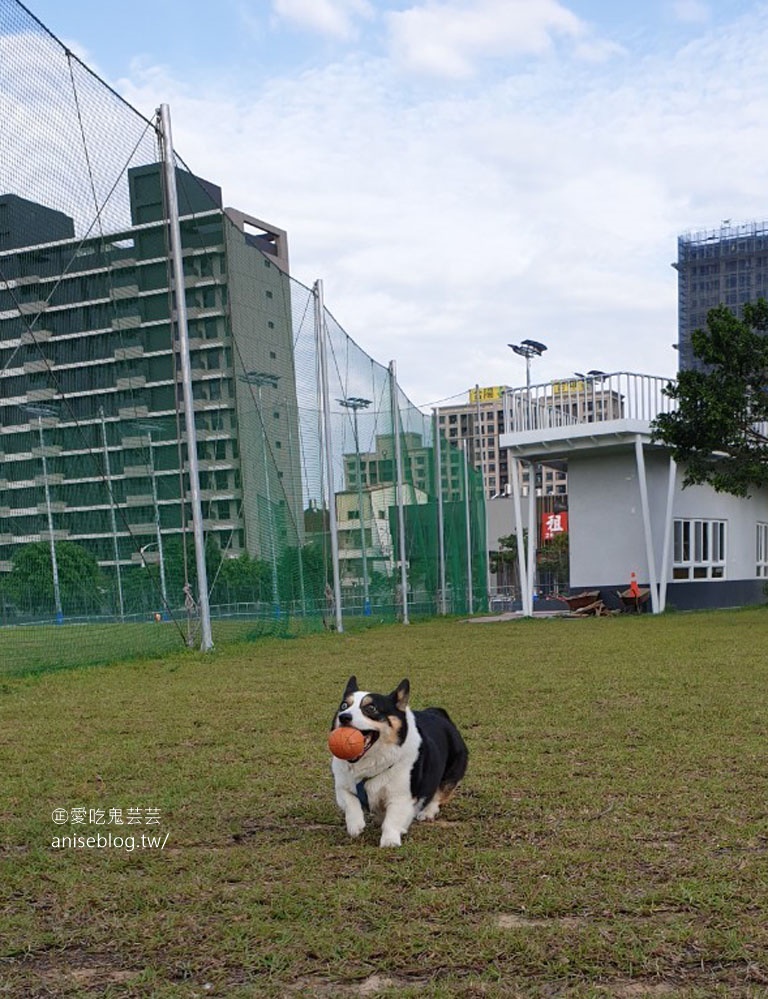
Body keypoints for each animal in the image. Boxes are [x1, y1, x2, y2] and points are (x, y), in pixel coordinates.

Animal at [330, 676, 468, 848]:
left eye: (371, 708)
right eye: (343, 706)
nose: (344, 717)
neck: (369, 762)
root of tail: (439, 713)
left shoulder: (401, 796)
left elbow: (393, 820)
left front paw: (390, 841)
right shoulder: (342, 787)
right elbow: (351, 802)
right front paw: (355, 825)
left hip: (450, 773)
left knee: (439, 794)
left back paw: (427, 812)